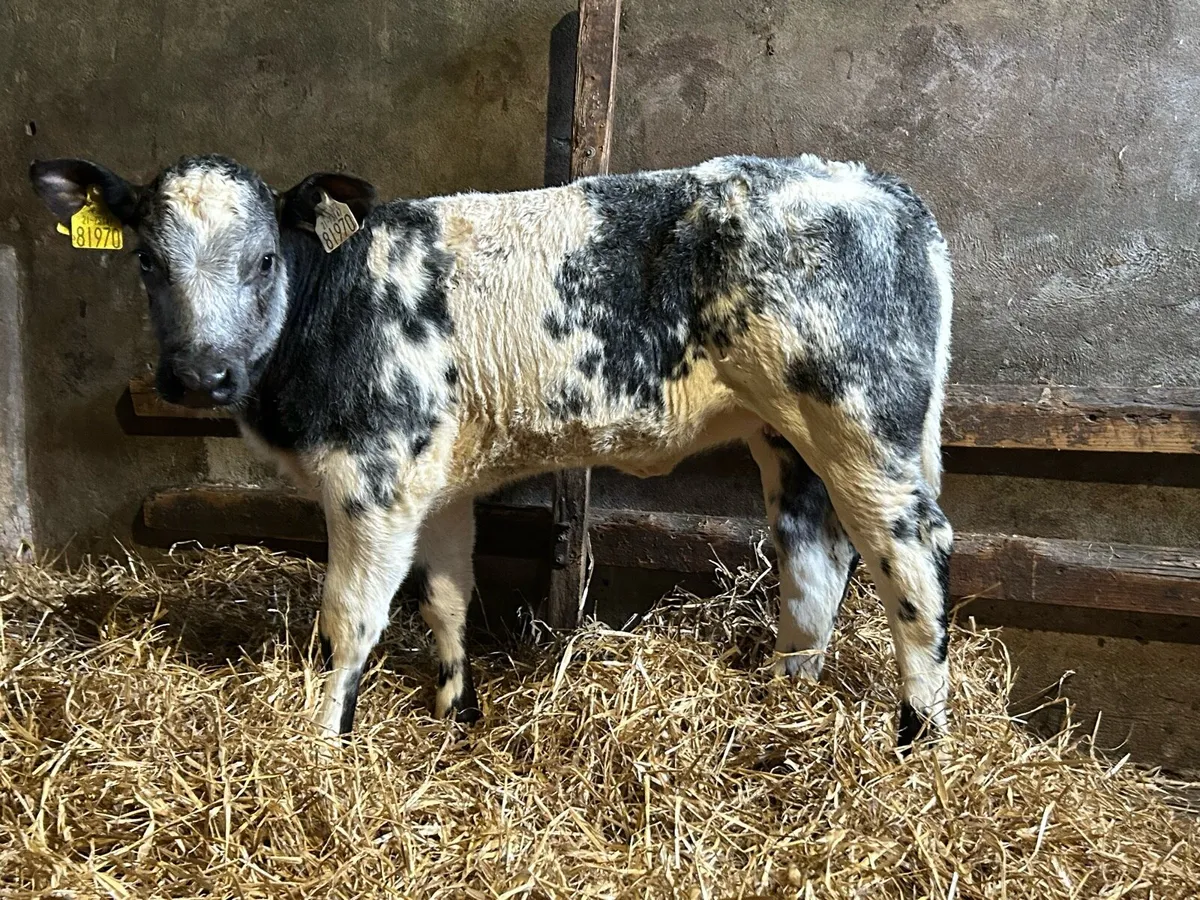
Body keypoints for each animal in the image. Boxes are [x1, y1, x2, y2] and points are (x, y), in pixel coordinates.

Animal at [30, 152, 954, 748]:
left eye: (261, 260)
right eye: (147, 261)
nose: (200, 374)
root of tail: (885, 188)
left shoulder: (373, 479)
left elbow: (349, 619)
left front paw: (320, 743)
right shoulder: (435, 482)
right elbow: (446, 597)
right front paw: (457, 714)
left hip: (862, 421)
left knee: (913, 553)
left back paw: (920, 736)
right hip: (786, 435)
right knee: (814, 559)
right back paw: (786, 700)